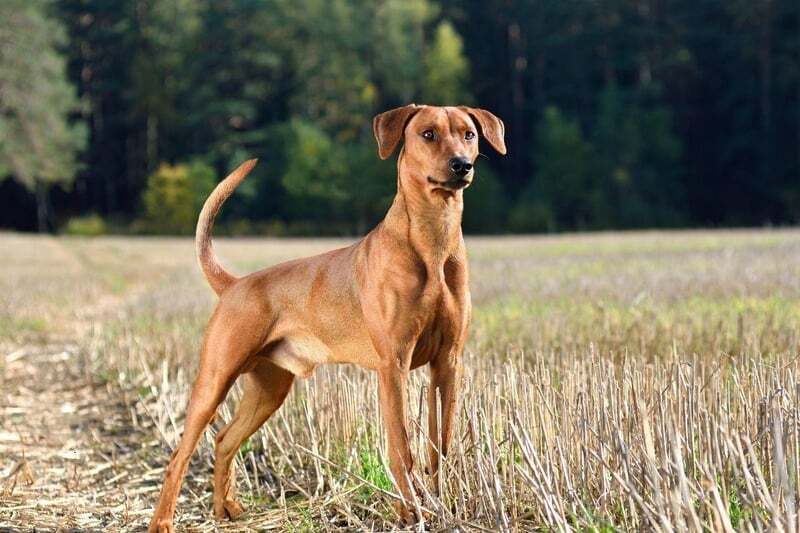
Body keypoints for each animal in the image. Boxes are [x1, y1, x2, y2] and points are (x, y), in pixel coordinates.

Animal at [147, 105, 504, 532]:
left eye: (469, 134)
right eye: (428, 134)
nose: (461, 165)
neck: (432, 240)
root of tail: (235, 284)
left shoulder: (447, 363)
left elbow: (441, 446)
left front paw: (443, 504)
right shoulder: (393, 365)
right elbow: (402, 448)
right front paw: (410, 513)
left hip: (269, 389)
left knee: (224, 439)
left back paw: (225, 507)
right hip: (215, 377)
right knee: (179, 455)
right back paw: (163, 522)